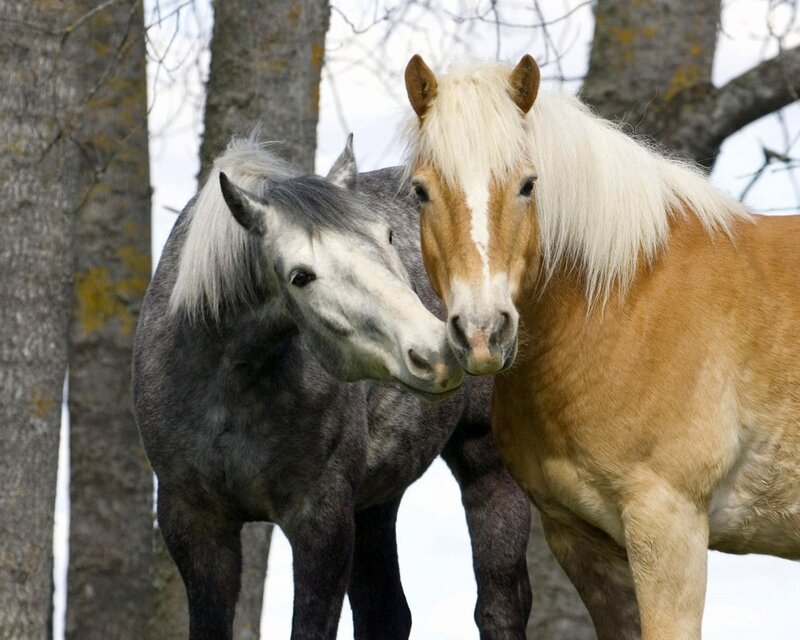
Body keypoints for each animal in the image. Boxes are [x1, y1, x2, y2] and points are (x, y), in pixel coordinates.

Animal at [132, 134, 532, 640]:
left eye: (387, 237)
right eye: (300, 276)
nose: (437, 352)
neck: (227, 387)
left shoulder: (321, 522)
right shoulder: (195, 525)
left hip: (487, 467)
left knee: (499, 607)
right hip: (377, 499)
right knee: (386, 612)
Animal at [402, 55, 800, 640]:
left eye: (528, 185)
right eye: (421, 191)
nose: (482, 332)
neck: (626, 299)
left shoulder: (669, 526)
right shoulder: (583, 543)